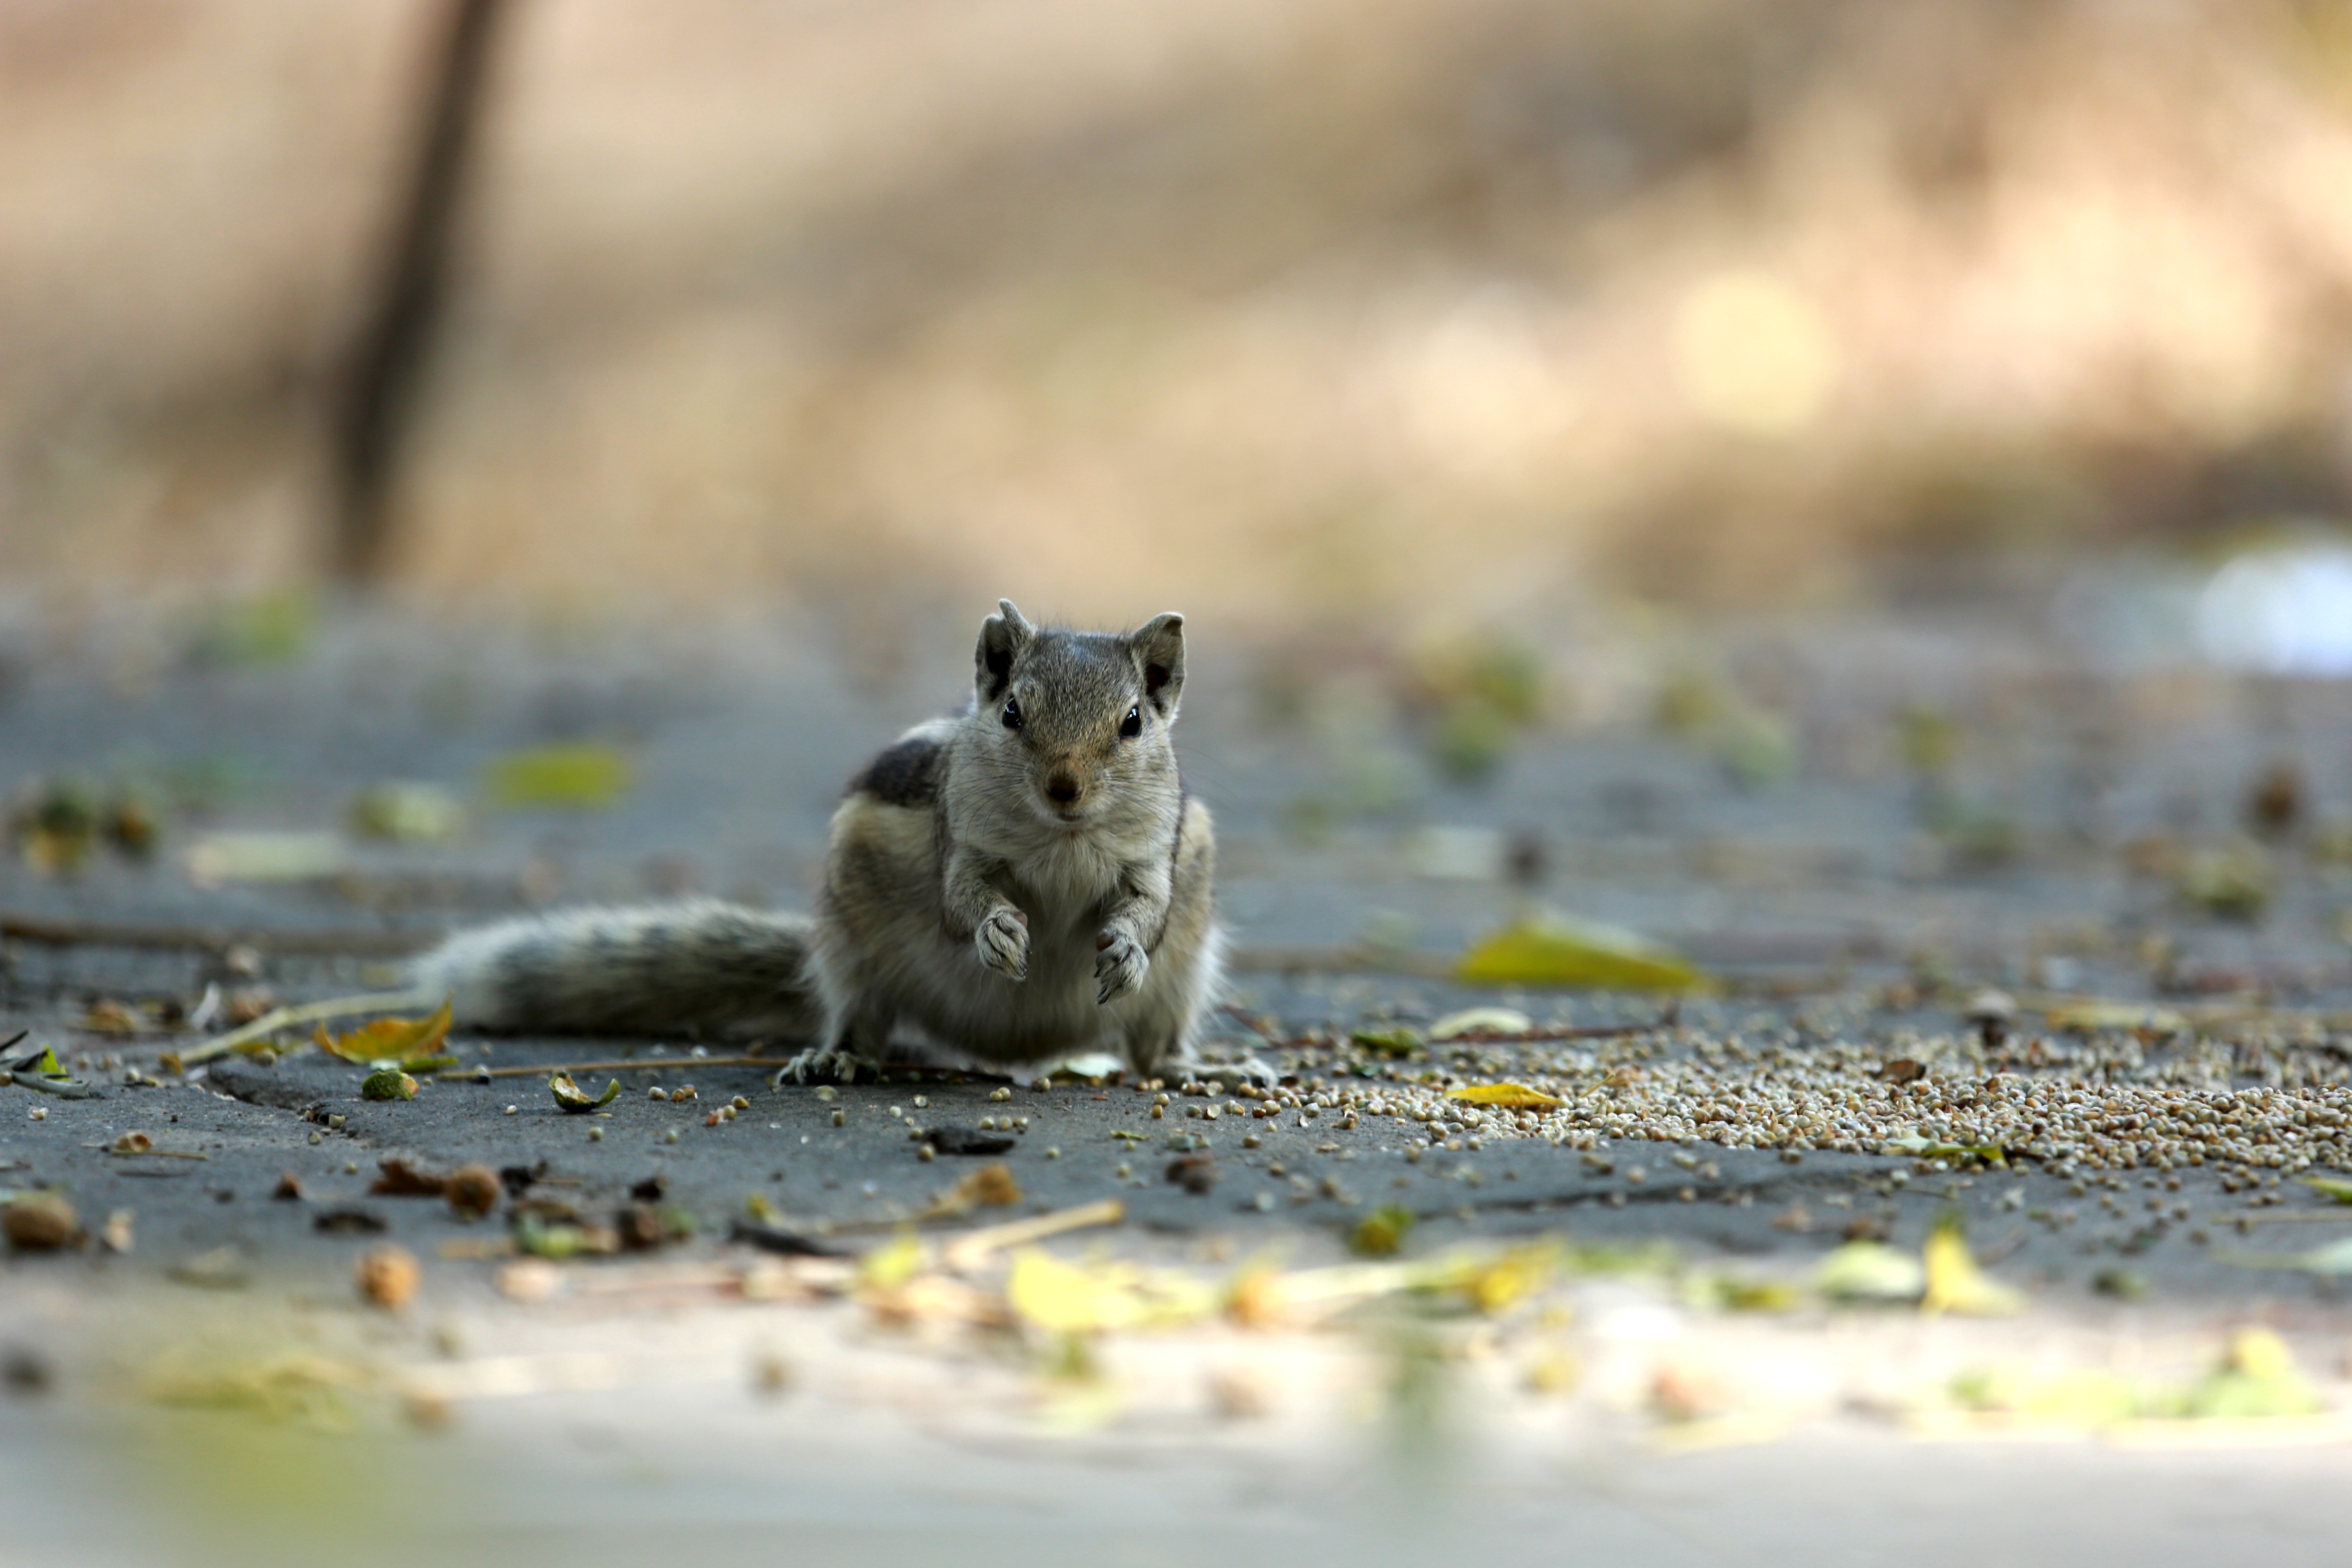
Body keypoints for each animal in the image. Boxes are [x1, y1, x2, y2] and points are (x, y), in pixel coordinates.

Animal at [414, 601, 1261, 1091]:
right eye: (1014, 711)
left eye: (1133, 722)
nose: (1064, 789)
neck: (1061, 838)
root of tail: (1020, 1049)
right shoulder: (962, 842)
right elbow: (963, 899)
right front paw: (997, 931)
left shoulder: (1157, 855)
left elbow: (1145, 906)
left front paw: (1125, 948)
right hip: (854, 948)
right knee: (861, 1015)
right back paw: (837, 1057)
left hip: (1185, 976)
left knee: (1152, 1044)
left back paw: (1195, 1070)